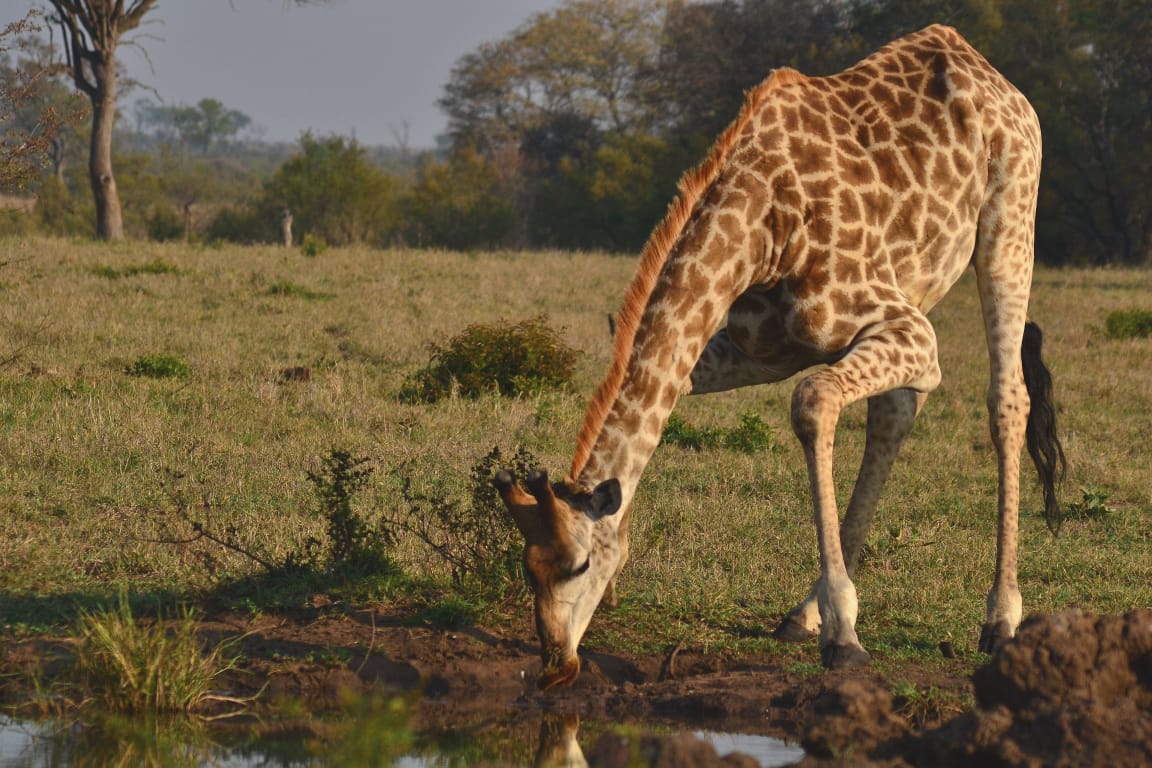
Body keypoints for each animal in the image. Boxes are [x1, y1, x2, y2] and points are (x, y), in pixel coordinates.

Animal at [494, 24, 1065, 688]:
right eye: (528, 568)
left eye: (579, 565)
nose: (555, 665)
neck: (760, 232)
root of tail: (982, 65)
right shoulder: (761, 347)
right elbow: (667, 398)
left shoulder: (911, 331)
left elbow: (812, 401)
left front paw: (845, 635)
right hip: (921, 281)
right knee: (897, 413)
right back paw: (804, 613)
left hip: (1010, 221)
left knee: (1007, 401)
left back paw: (999, 620)